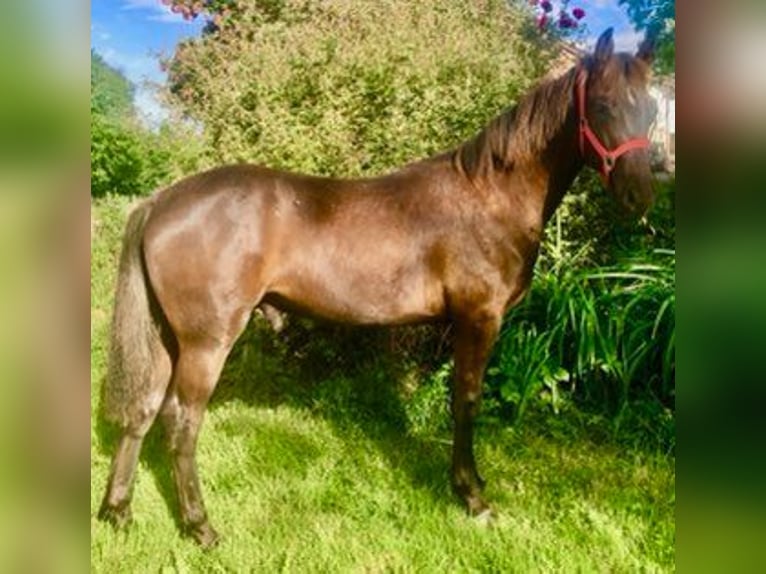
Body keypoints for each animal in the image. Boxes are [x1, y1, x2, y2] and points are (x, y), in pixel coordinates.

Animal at [97, 28, 657, 547]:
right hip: (207, 341)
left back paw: (118, 512)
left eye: (651, 109)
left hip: (168, 338)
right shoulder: (479, 318)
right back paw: (201, 527)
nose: (641, 194)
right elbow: (467, 399)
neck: (490, 196)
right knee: (180, 420)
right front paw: (472, 496)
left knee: (143, 408)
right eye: (604, 105)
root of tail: (161, 200)